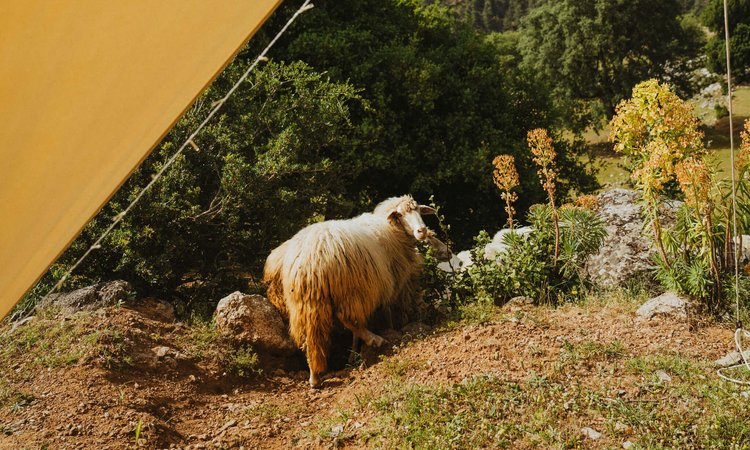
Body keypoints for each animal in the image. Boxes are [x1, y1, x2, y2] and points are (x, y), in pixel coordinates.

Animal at [268, 194, 438, 386]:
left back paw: (314, 378)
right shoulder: (382, 285)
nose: (422, 231)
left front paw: (354, 355)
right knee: (345, 318)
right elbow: (385, 313)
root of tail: (310, 259)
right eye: (400, 214)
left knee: (311, 337)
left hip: (305, 302)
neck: (391, 228)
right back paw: (374, 339)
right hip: (348, 289)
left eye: (419, 211)